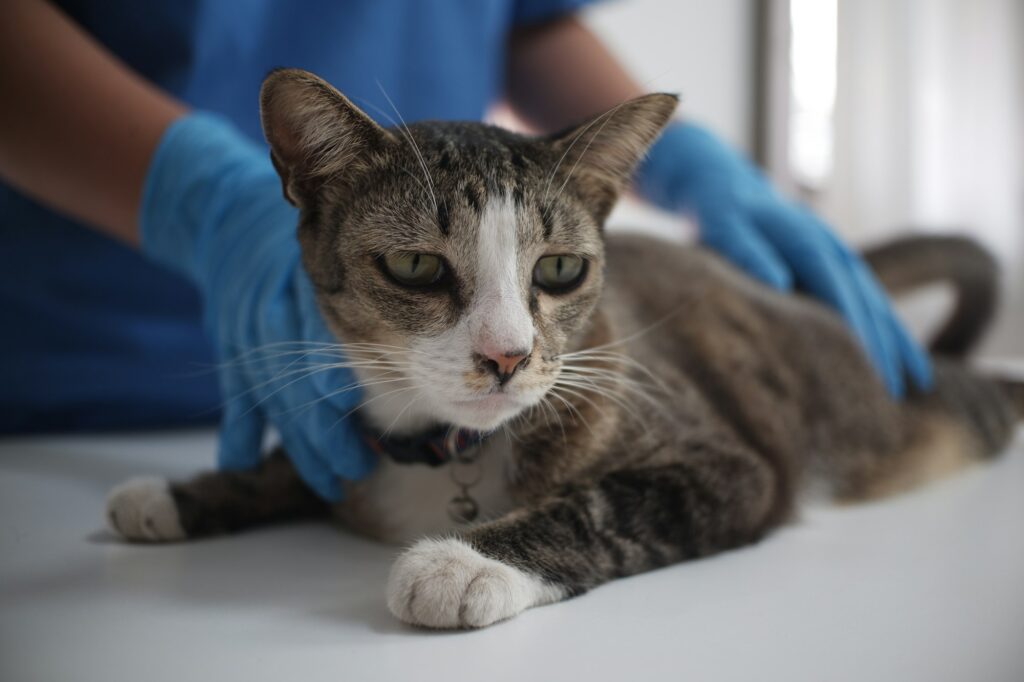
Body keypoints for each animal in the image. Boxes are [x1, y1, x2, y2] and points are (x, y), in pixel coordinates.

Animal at [105, 67, 1024, 626]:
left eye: (559, 268)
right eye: (415, 266)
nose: (508, 356)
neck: (451, 453)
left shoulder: (733, 462)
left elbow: (605, 506)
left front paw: (463, 562)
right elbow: (304, 461)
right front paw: (185, 493)